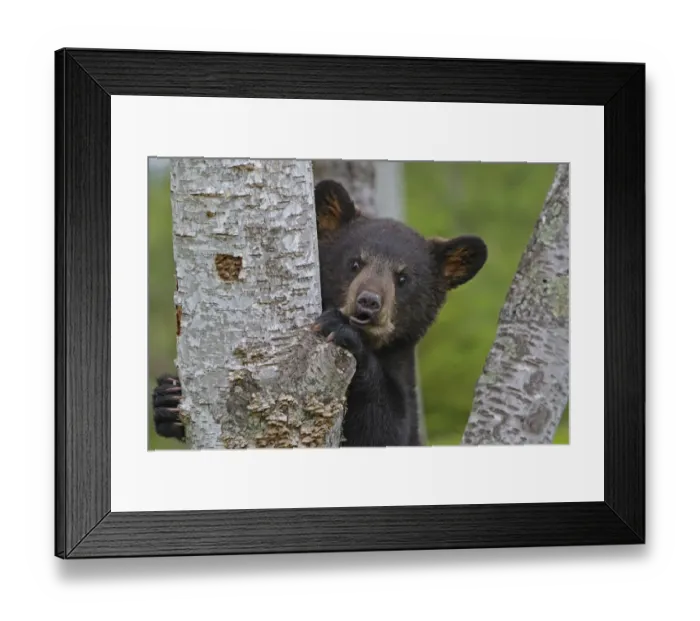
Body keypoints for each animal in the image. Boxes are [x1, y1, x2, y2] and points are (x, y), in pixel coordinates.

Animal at [152, 178, 487, 447]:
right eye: (354, 262)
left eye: (403, 278)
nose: (368, 303)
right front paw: (167, 400)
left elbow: (385, 429)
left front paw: (342, 332)